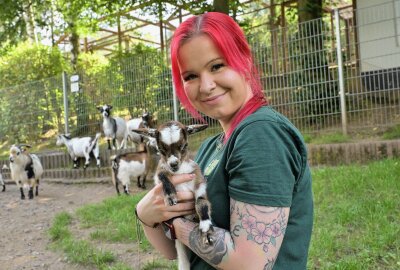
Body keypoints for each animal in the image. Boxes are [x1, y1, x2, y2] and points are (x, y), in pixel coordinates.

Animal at [134, 121, 216, 270]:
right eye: (160, 149)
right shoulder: (159, 173)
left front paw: (206, 229)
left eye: (184, 146)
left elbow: (201, 203)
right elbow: (161, 174)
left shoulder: (199, 182)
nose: (173, 164)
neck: (180, 171)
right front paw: (170, 195)